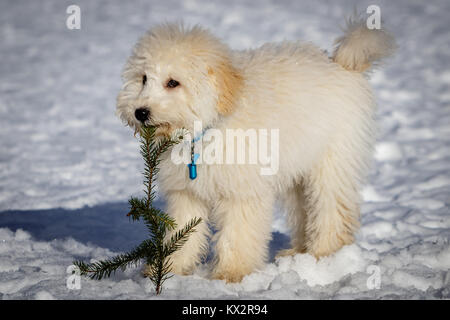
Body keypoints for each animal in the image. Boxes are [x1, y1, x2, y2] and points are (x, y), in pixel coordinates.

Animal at [116, 18, 394, 282]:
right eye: (143, 79)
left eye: (173, 82)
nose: (140, 112)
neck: (213, 123)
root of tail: (340, 63)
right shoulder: (186, 192)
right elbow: (182, 231)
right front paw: (167, 269)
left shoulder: (241, 191)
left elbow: (237, 234)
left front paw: (231, 274)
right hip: (297, 170)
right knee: (303, 210)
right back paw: (298, 253)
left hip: (331, 163)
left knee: (331, 209)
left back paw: (324, 255)